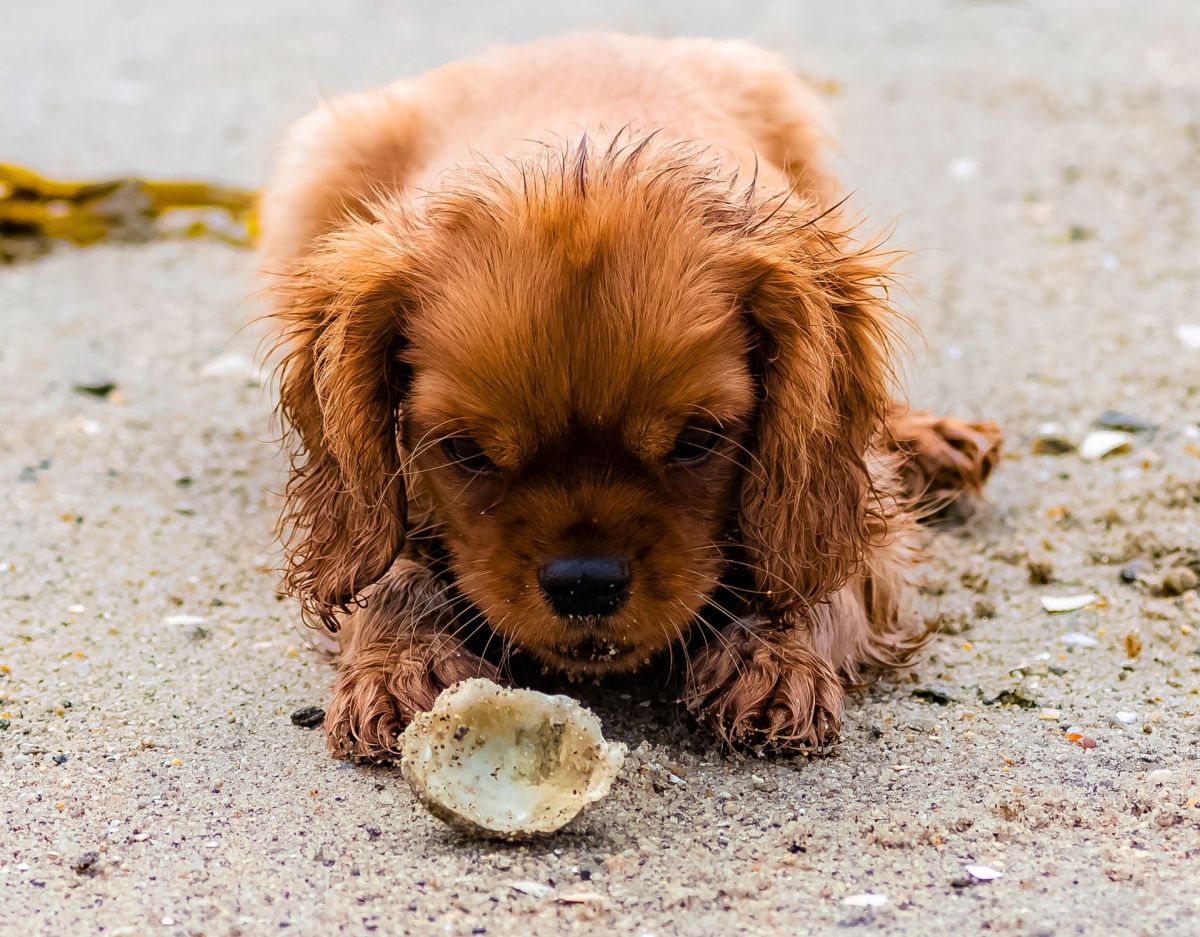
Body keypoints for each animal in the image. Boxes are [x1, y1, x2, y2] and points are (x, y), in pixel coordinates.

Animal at [262, 32, 1003, 758]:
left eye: (697, 441)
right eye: (466, 451)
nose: (585, 581)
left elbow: (816, 558)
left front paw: (768, 655)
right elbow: (388, 564)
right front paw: (399, 662)